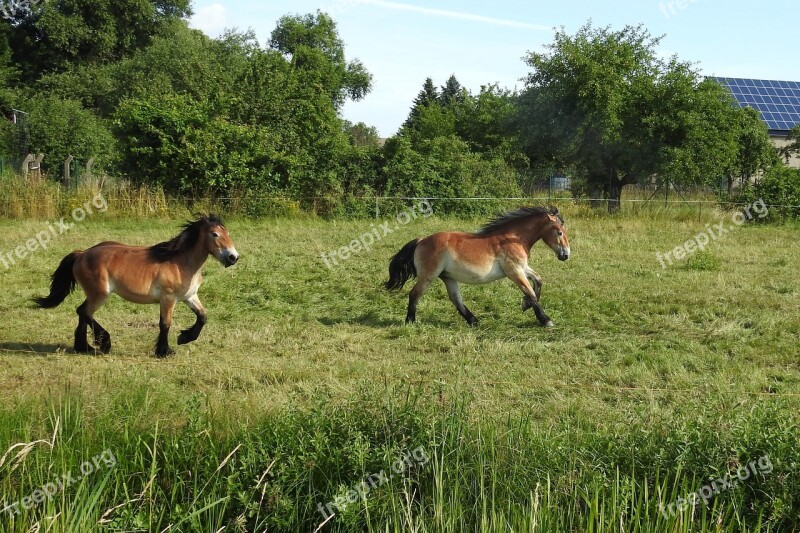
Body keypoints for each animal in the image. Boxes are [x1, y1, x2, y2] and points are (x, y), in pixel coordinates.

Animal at [33, 214, 238, 356]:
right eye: (215, 234)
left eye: (228, 233)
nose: (233, 257)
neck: (180, 263)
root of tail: (81, 254)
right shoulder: (168, 299)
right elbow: (165, 324)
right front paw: (164, 351)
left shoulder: (189, 296)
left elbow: (203, 316)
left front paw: (184, 338)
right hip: (100, 294)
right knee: (84, 312)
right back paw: (104, 343)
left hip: (94, 294)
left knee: (83, 314)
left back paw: (84, 347)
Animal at [386, 207, 568, 326]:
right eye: (559, 232)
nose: (565, 255)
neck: (512, 238)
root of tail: (421, 240)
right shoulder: (514, 271)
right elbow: (530, 292)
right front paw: (545, 319)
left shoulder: (522, 268)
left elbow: (538, 280)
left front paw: (526, 305)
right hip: (428, 276)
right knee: (414, 294)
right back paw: (410, 321)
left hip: (447, 277)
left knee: (456, 299)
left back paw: (473, 321)